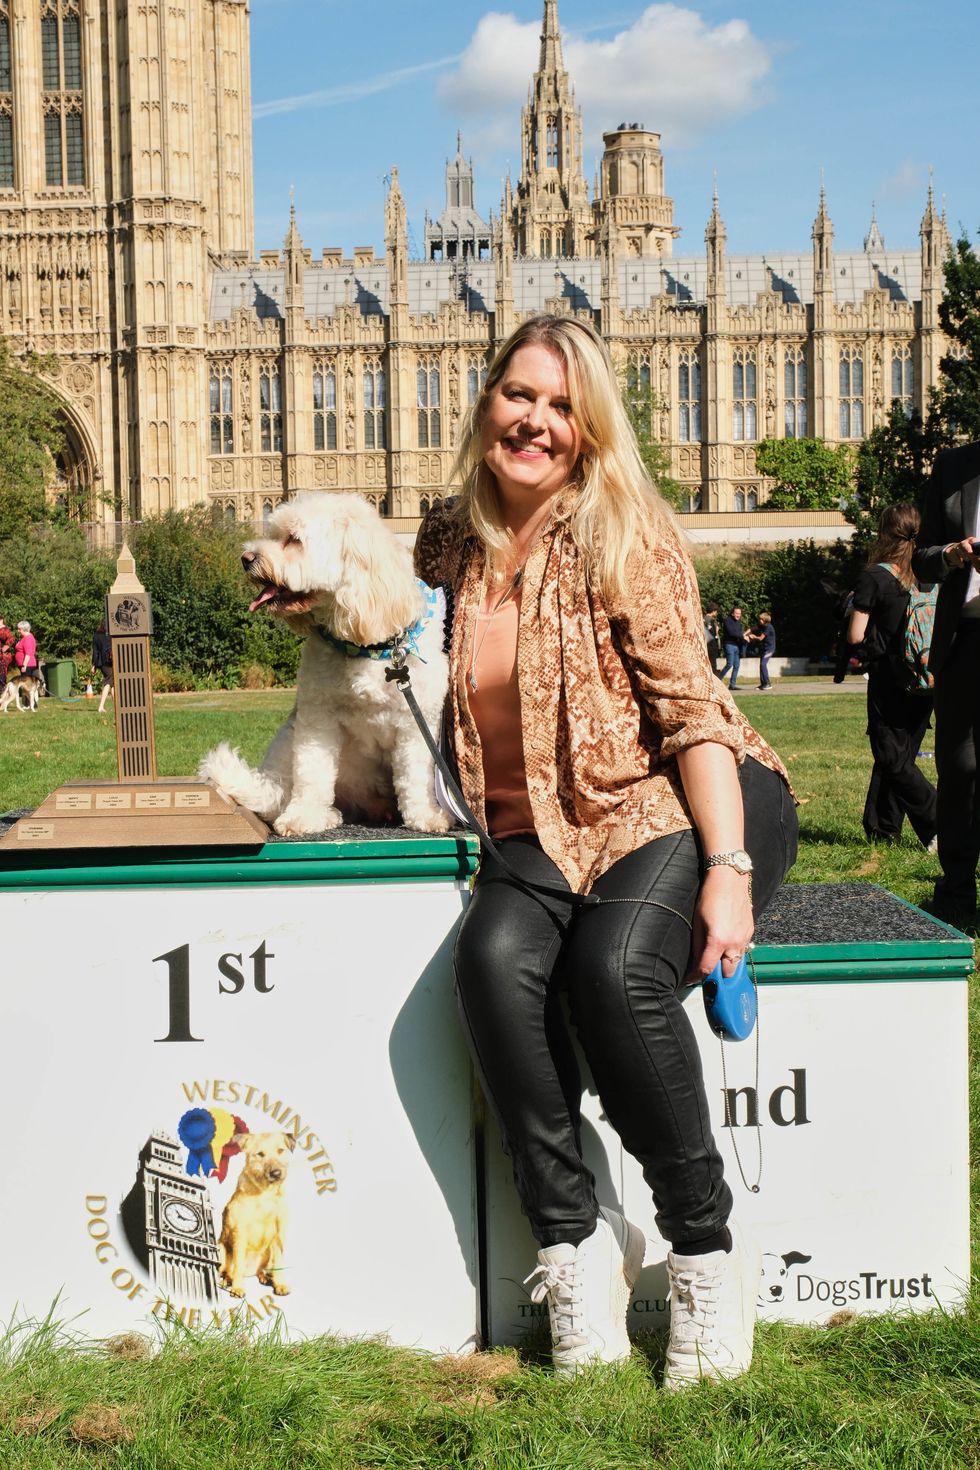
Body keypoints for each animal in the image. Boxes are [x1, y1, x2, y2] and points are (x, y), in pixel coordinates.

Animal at [205, 493, 458, 834]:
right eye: (273, 532)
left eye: (293, 539)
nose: (246, 558)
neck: (367, 647)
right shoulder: (318, 717)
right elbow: (312, 771)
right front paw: (305, 816)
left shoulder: (416, 723)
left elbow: (415, 776)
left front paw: (425, 816)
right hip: (286, 742)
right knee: (282, 794)